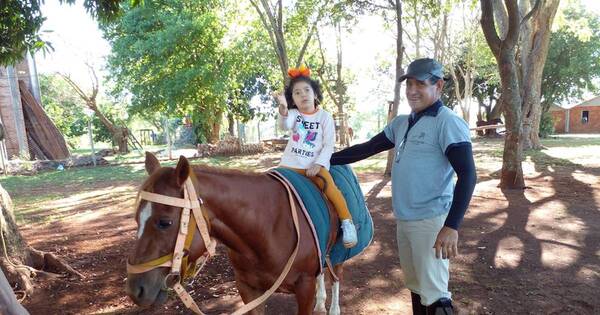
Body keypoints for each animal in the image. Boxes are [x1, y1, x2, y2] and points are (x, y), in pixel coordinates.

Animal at [124, 153, 344, 314]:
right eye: (136, 219)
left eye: (165, 222)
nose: (135, 290)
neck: (267, 229)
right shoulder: (248, 289)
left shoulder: (304, 287)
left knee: (335, 277)